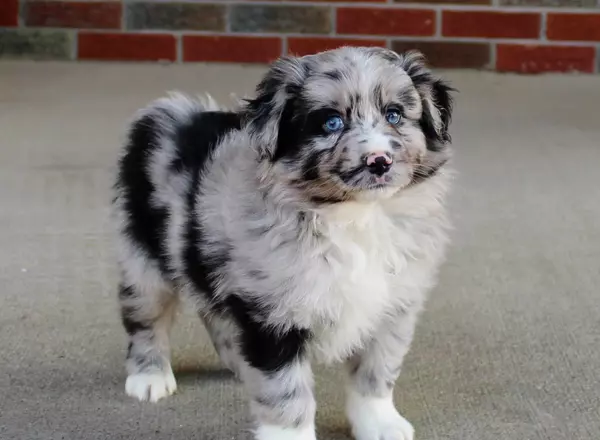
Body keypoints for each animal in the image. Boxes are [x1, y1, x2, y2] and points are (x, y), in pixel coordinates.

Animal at [111, 48, 454, 440]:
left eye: (394, 114)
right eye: (331, 122)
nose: (379, 161)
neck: (354, 215)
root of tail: (172, 111)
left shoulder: (392, 305)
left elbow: (376, 371)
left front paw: (380, 423)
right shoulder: (273, 314)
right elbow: (286, 394)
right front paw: (290, 434)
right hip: (143, 260)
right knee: (145, 320)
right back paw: (149, 376)